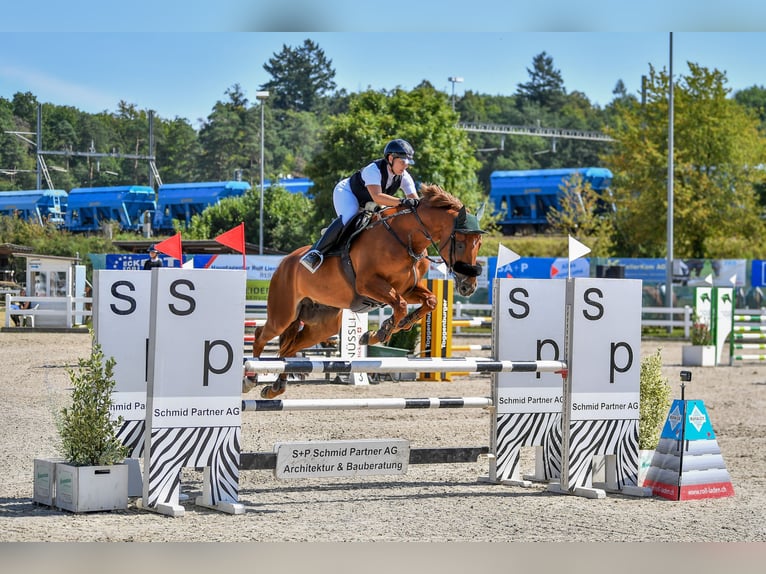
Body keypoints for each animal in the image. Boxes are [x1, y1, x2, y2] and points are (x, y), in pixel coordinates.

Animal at [249, 186, 484, 400]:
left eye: (479, 244)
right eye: (460, 244)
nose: (468, 287)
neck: (406, 239)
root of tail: (285, 262)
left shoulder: (407, 289)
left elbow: (430, 301)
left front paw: (395, 326)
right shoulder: (368, 284)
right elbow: (400, 304)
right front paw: (378, 333)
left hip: (322, 325)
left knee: (290, 349)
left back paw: (275, 388)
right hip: (283, 314)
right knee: (261, 334)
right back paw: (250, 377)